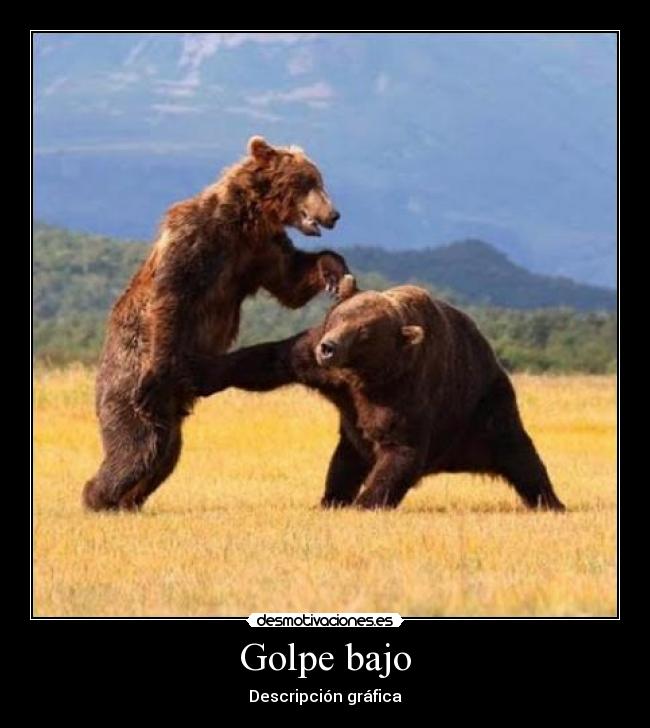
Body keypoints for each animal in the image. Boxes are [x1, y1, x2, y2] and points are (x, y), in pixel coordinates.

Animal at [83, 136, 349, 512]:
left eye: (318, 180)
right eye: (307, 181)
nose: (333, 214)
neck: (248, 220)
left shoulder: (259, 252)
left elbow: (291, 281)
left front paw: (335, 271)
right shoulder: (198, 239)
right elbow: (171, 297)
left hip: (172, 414)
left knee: (165, 455)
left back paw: (128, 500)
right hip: (126, 386)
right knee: (137, 448)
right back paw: (98, 497)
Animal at [194, 278, 566, 511]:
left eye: (364, 332)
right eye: (341, 316)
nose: (328, 347)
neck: (361, 374)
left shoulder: (400, 393)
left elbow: (400, 451)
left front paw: (366, 502)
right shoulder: (326, 372)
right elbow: (271, 360)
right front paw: (201, 374)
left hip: (485, 406)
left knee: (520, 454)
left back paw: (551, 502)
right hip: (354, 438)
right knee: (343, 463)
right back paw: (330, 500)